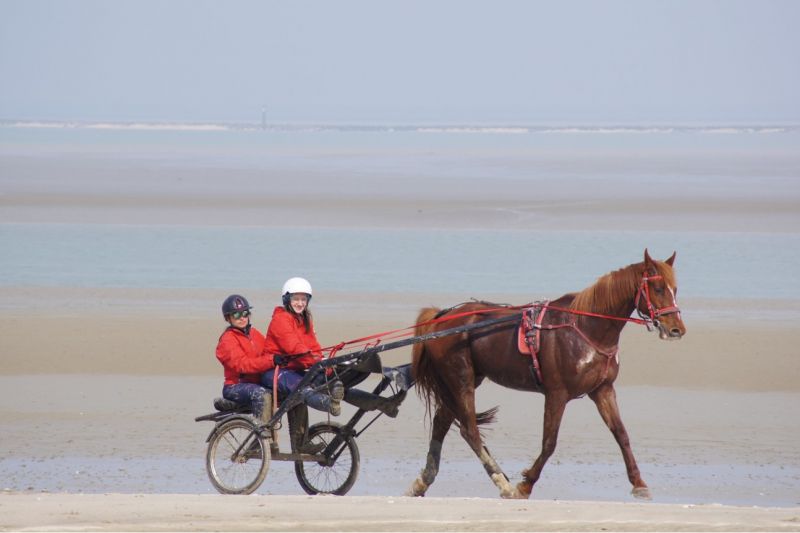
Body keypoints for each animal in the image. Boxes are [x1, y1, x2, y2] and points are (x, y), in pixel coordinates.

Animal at [406, 249, 688, 498]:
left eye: (675, 289)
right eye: (658, 288)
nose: (676, 329)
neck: (586, 327)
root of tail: (441, 317)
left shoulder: (603, 389)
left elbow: (621, 434)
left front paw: (639, 483)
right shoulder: (557, 393)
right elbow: (549, 442)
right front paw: (525, 484)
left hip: (466, 379)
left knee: (442, 422)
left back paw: (423, 481)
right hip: (460, 378)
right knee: (470, 431)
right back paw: (502, 483)